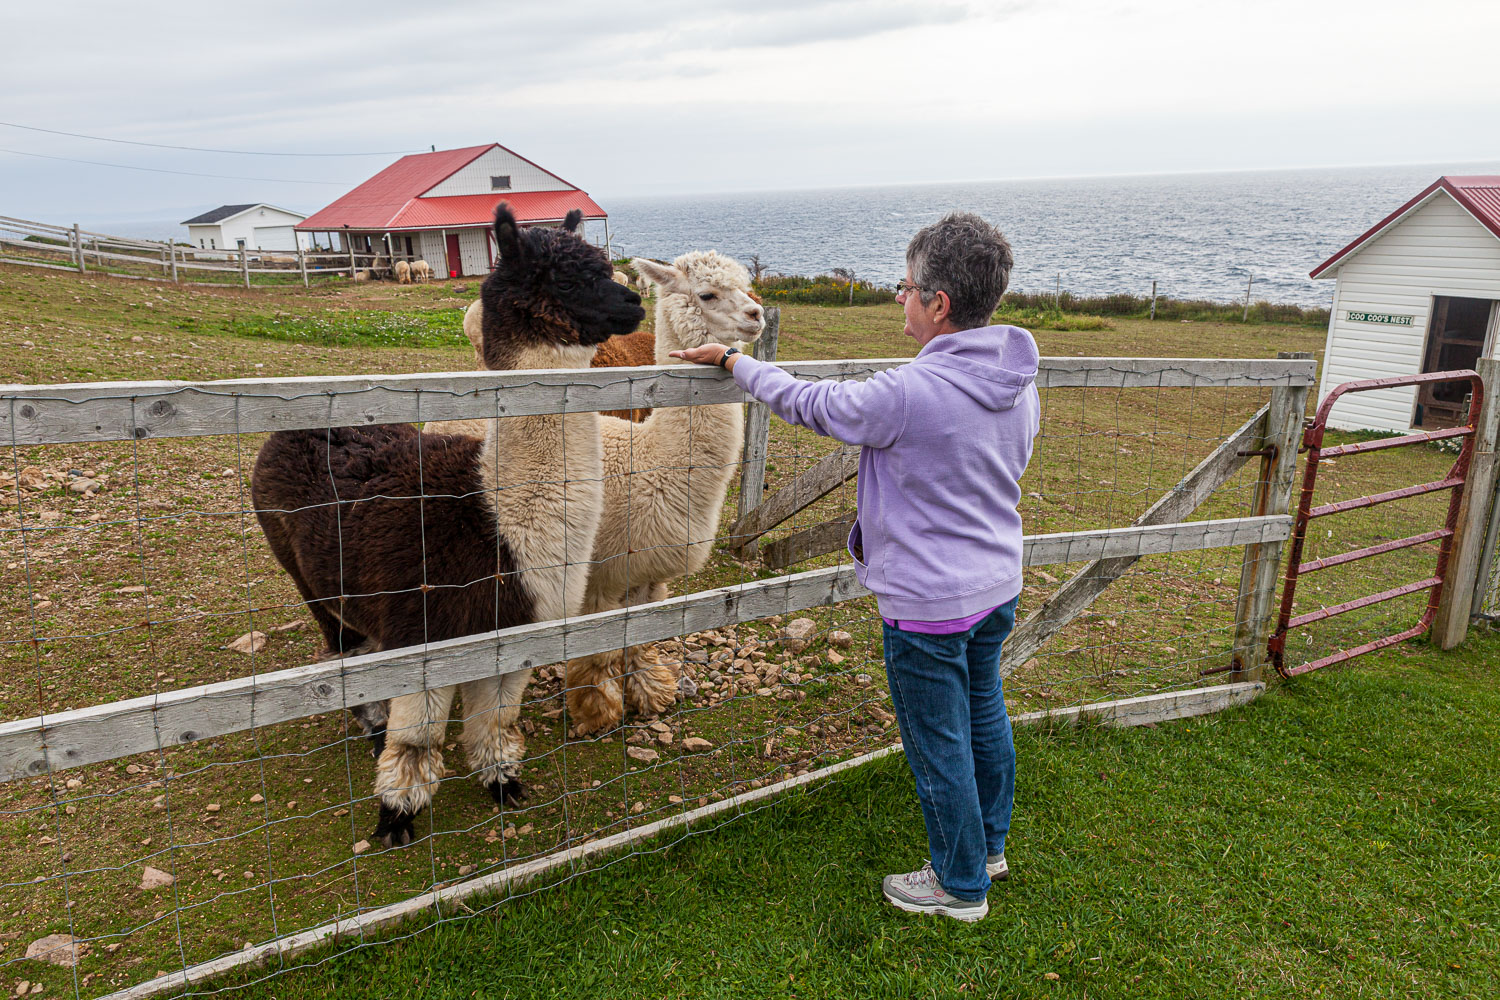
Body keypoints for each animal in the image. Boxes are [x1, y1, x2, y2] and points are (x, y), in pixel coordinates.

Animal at [247, 206, 645, 851]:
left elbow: (495, 720)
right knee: (342, 646)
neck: (495, 522)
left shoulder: (511, 632)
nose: (633, 303)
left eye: (607, 267)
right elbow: (418, 741)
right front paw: (395, 818)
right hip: (304, 573)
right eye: (562, 279)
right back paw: (371, 725)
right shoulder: (426, 631)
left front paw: (503, 784)